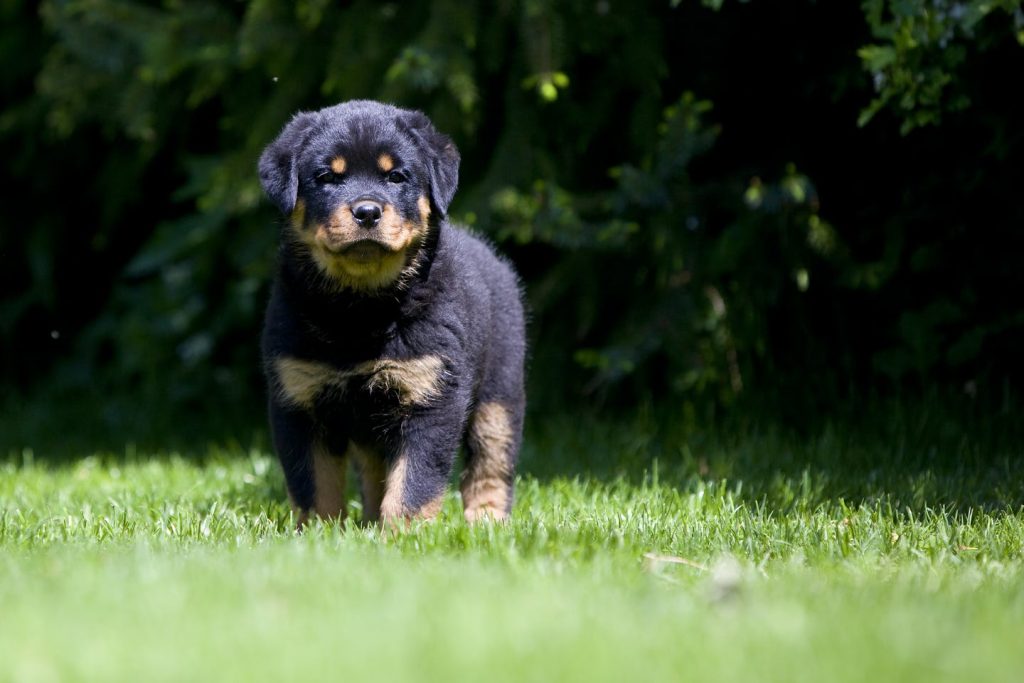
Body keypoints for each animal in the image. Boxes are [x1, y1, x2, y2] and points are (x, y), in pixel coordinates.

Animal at [256, 98, 528, 528]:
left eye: (397, 176)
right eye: (326, 177)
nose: (367, 212)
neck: (361, 307)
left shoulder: (430, 395)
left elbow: (414, 484)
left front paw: (403, 535)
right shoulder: (298, 398)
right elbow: (314, 486)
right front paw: (319, 533)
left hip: (498, 393)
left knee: (491, 462)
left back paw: (486, 522)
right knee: (375, 471)